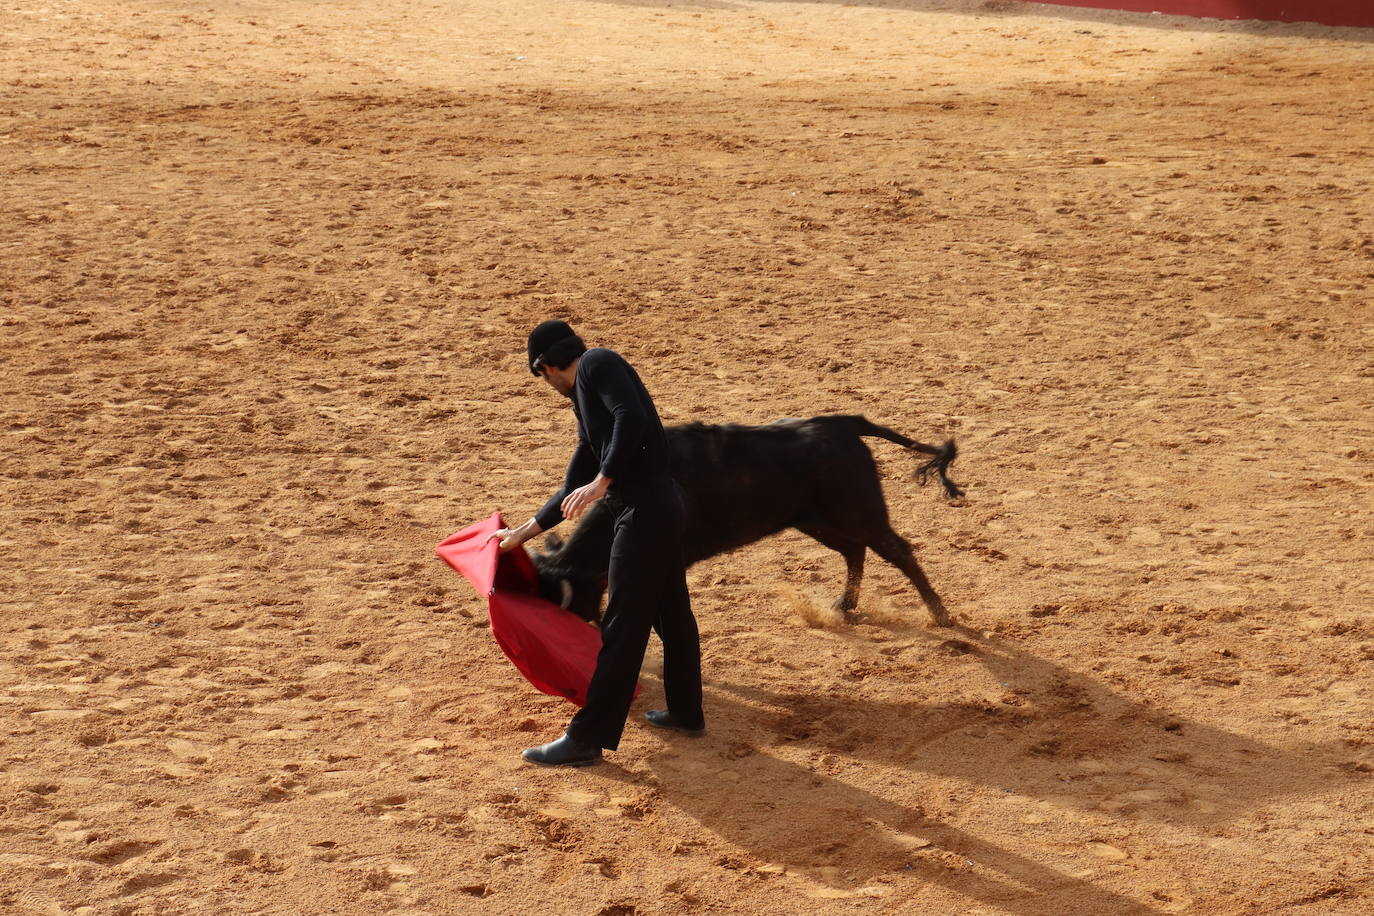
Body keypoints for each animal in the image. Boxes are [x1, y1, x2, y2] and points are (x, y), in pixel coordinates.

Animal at [530, 417, 961, 626]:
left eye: (566, 605)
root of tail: (840, 424)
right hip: (816, 521)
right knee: (854, 552)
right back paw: (843, 606)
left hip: (860, 513)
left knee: (897, 550)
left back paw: (941, 616)